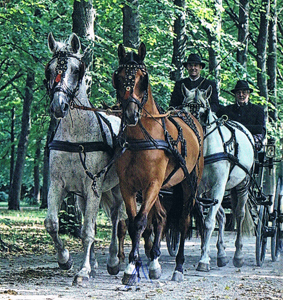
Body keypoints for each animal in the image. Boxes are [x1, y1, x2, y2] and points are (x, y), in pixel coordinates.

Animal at [44, 32, 124, 284]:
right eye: (50, 70)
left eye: (76, 69)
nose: (58, 106)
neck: (76, 135)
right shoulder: (57, 184)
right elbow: (53, 224)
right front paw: (65, 259)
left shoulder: (93, 186)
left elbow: (88, 231)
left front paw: (83, 271)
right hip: (83, 195)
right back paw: (97, 263)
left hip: (115, 188)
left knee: (117, 217)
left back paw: (113, 261)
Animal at [114, 42, 205, 284]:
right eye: (119, 77)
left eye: (142, 79)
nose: (130, 115)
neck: (140, 139)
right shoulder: (128, 186)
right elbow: (134, 221)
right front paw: (133, 265)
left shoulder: (152, 184)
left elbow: (140, 222)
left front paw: (131, 268)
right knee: (162, 216)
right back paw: (154, 261)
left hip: (189, 183)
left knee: (183, 220)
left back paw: (179, 266)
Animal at [183, 84, 256, 272]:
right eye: (184, 111)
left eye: (203, 112)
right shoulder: (199, 189)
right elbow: (204, 222)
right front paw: (206, 254)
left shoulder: (219, 185)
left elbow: (209, 222)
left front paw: (203, 260)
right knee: (222, 215)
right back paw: (221, 254)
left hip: (243, 185)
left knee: (239, 214)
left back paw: (238, 255)